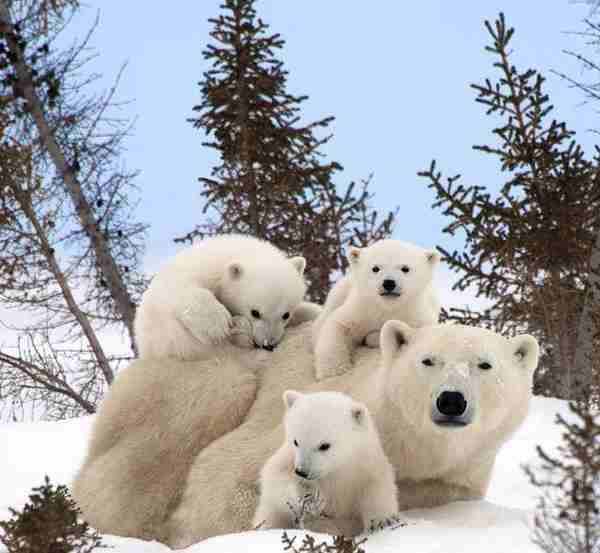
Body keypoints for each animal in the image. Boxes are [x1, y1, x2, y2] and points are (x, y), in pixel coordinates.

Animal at [132, 234, 318, 360]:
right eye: (255, 312)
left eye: (286, 314)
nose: (268, 344)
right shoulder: (194, 271)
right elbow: (183, 288)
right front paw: (217, 325)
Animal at [253, 388, 398, 532]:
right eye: (296, 441)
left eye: (324, 445)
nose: (302, 472)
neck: (335, 469)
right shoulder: (288, 457)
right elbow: (274, 477)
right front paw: (308, 497)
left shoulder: (365, 465)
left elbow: (377, 487)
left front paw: (381, 521)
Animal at [314, 239, 440, 382]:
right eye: (375, 268)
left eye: (405, 268)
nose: (389, 283)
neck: (387, 307)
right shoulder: (361, 308)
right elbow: (339, 325)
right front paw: (333, 371)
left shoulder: (416, 315)